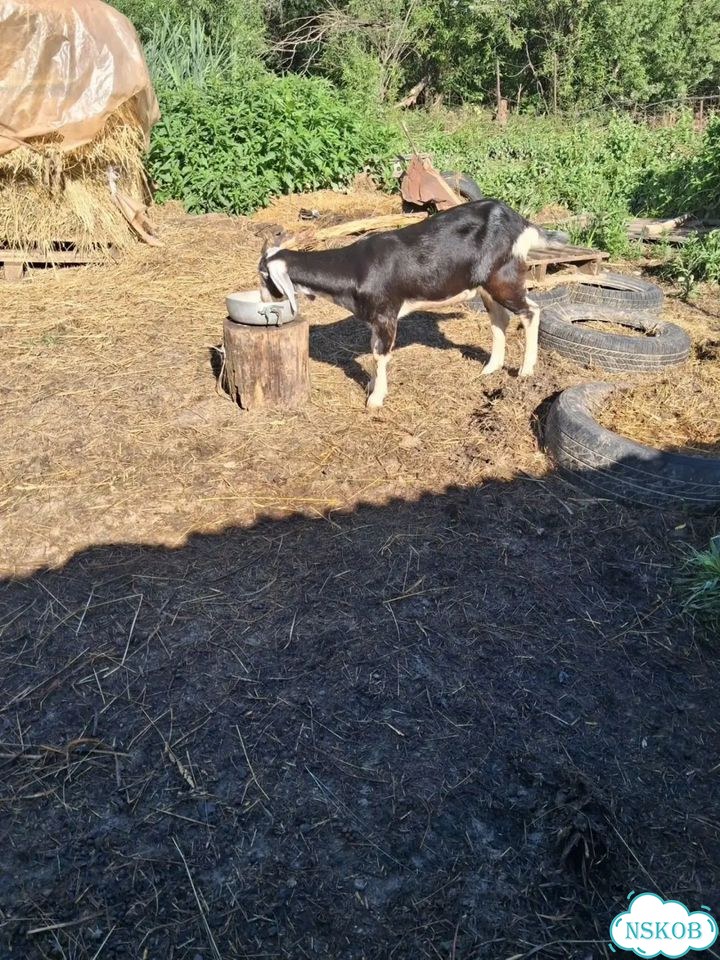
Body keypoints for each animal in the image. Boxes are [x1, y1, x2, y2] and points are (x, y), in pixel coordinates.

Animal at [258, 199, 567, 408]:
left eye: (263, 276)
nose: (263, 301)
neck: (355, 267)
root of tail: (520, 222)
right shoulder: (375, 319)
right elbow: (374, 350)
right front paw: (372, 386)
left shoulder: (386, 314)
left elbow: (380, 355)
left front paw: (376, 399)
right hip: (487, 285)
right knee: (500, 319)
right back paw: (491, 368)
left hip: (504, 278)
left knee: (531, 311)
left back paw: (526, 371)